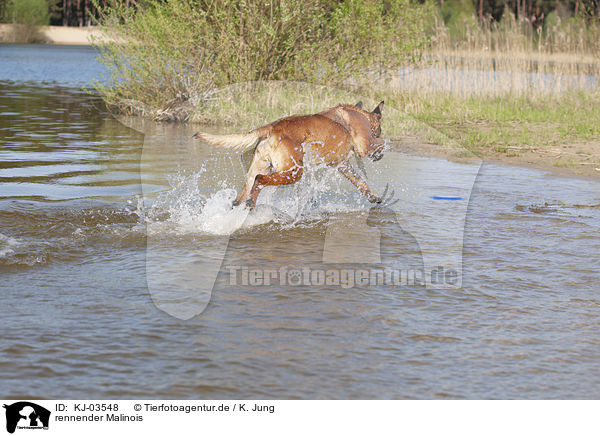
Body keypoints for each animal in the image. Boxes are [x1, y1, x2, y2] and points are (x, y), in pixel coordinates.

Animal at [195, 101, 386, 209]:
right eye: (380, 129)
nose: (379, 156)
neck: (361, 116)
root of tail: (272, 127)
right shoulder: (363, 147)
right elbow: (380, 142)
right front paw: (383, 146)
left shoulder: (344, 166)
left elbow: (361, 182)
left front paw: (373, 197)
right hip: (293, 172)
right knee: (260, 180)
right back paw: (252, 203)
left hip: (263, 168)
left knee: (242, 195)